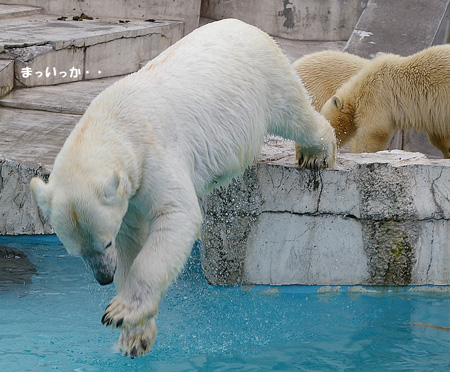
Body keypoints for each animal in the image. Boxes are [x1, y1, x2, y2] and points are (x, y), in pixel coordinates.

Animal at [29, 18, 336, 358]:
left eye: (105, 242)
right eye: (76, 252)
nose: (104, 278)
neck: (113, 122)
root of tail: (243, 24)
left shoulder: (153, 155)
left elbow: (176, 215)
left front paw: (120, 312)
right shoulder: (130, 190)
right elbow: (133, 238)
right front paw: (135, 337)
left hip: (266, 75)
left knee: (296, 114)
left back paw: (316, 153)